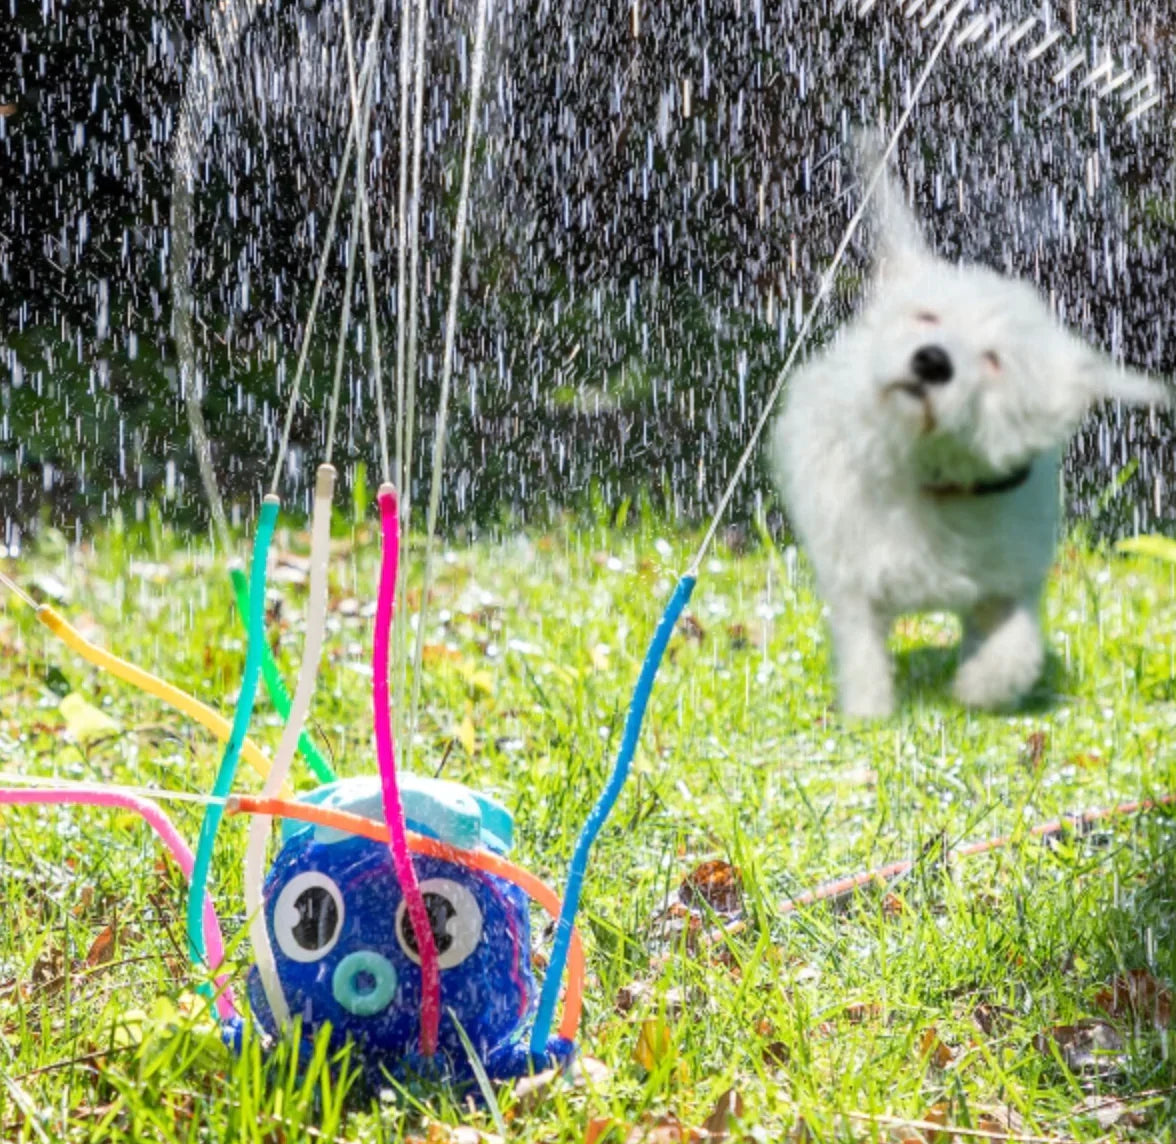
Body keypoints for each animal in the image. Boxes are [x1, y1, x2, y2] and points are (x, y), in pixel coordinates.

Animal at [771, 142, 1166, 714]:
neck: (935, 477)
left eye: (995, 360)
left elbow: (1015, 641)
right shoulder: (858, 573)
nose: (933, 361)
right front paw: (869, 715)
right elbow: (861, 645)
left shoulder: (1007, 576)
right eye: (928, 318)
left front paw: (982, 686)